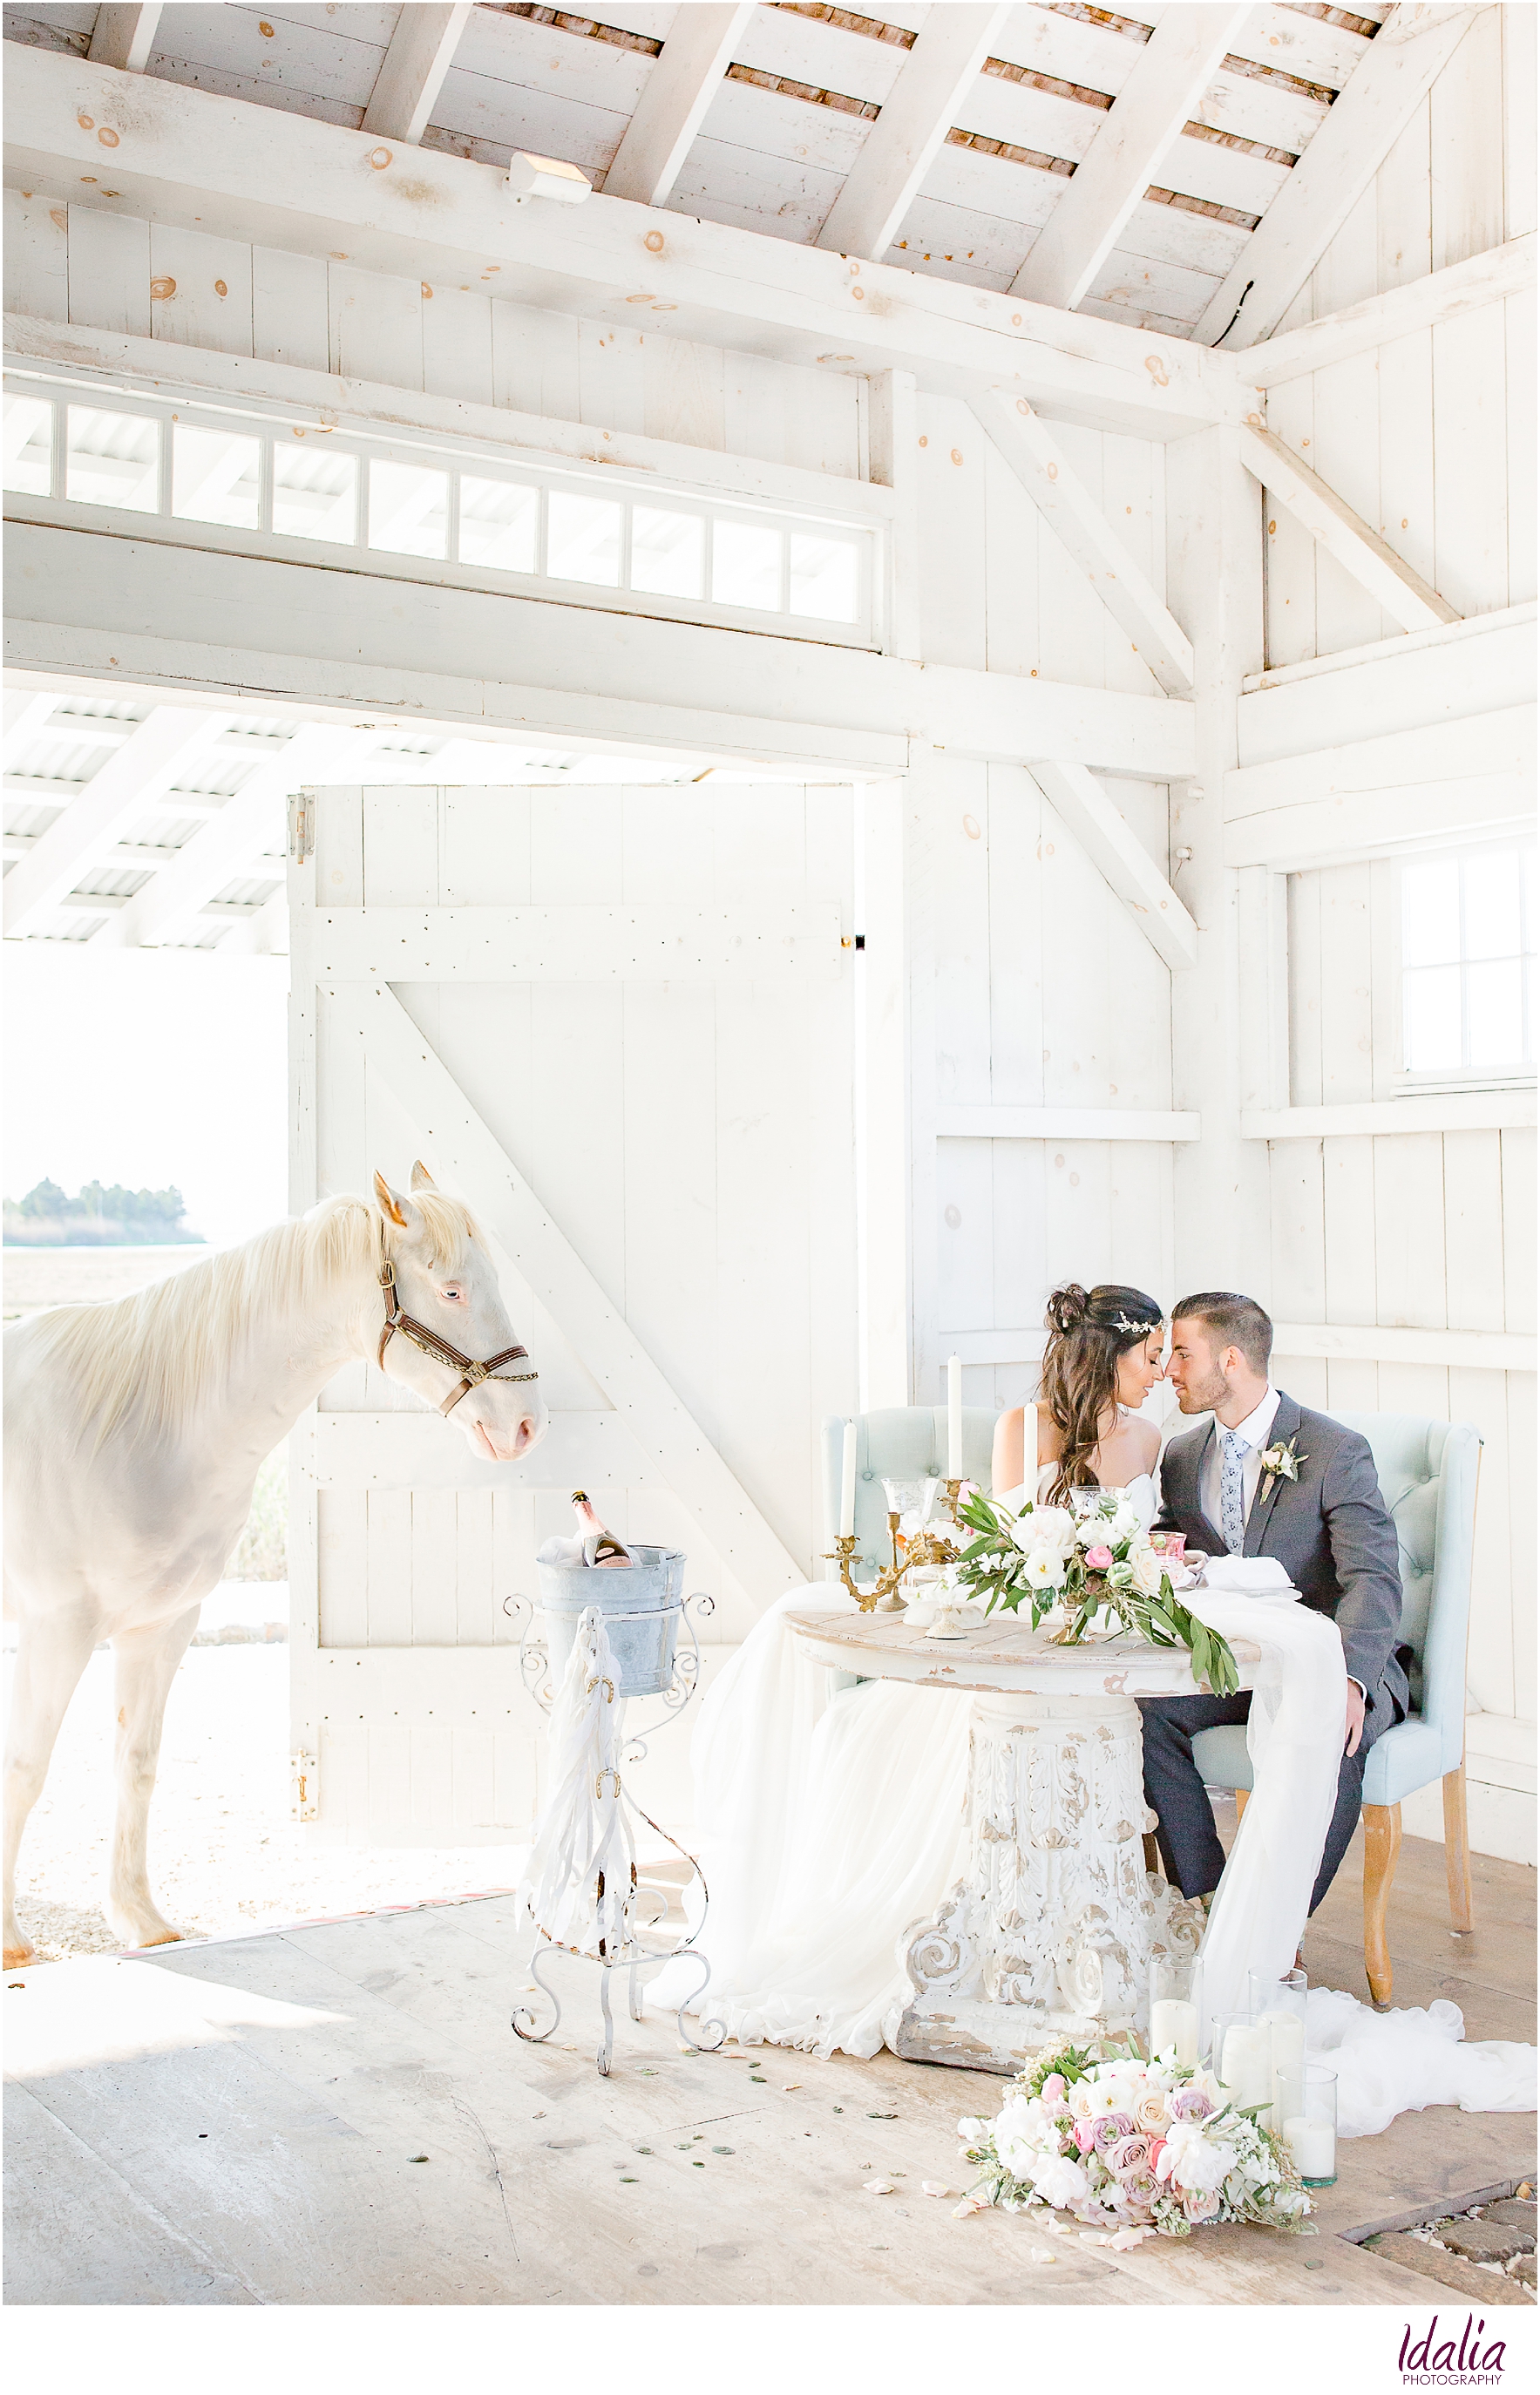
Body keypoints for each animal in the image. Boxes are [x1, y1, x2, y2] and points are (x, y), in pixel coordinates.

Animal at [3, 1159, 548, 1964]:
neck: (134, 1427)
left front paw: (141, 1920)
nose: (525, 1426)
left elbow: (136, 1765)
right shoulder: (55, 1629)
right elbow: (24, 1769)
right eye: (452, 1289)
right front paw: (11, 1941)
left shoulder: (159, 1627)